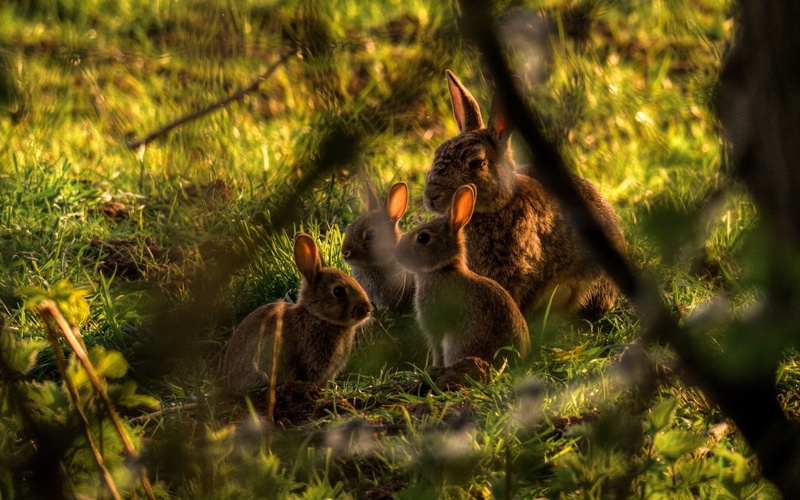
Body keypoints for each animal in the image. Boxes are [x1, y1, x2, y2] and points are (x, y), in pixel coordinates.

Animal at [395, 184, 530, 367]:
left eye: (423, 238)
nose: (396, 253)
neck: (444, 269)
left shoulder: (435, 328)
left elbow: (437, 350)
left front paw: (433, 368)